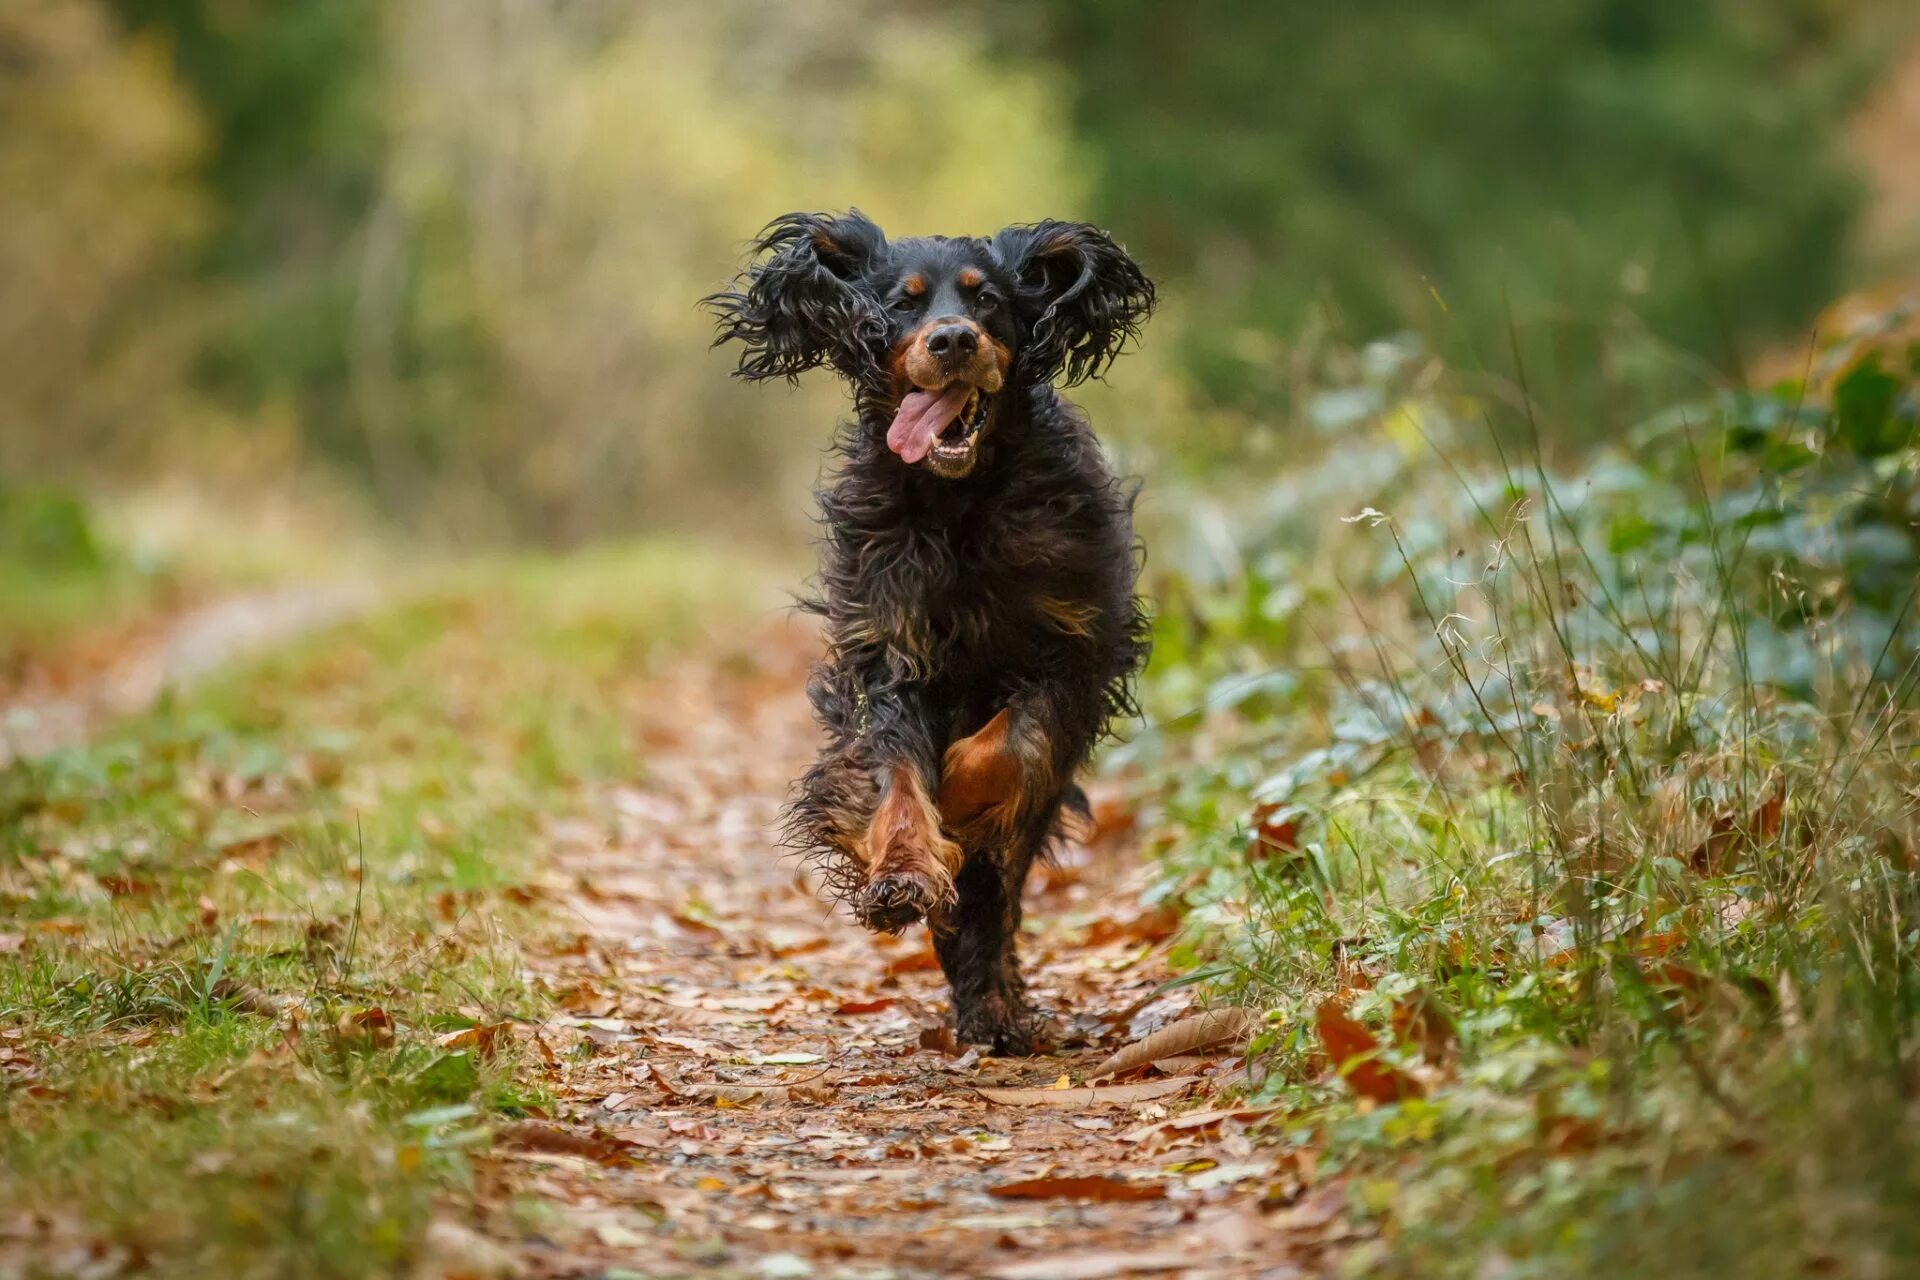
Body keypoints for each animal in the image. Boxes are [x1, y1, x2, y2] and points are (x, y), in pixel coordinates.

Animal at [710, 213, 1144, 1051]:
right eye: (903, 303)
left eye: (988, 300)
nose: (952, 341)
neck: (960, 501)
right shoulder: (890, 654)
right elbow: (899, 777)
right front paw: (905, 869)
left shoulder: (1072, 651)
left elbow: (1002, 751)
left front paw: (961, 811)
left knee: (1003, 885)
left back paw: (996, 999)